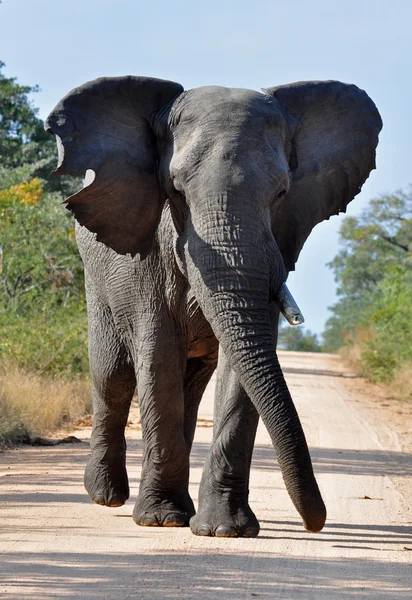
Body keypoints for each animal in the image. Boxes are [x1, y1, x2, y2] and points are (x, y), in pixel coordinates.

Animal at [43, 77, 382, 536]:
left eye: (282, 192)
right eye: (176, 191)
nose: (317, 522)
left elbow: (242, 368)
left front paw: (226, 529)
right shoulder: (146, 258)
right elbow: (157, 354)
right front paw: (160, 521)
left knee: (189, 385)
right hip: (96, 278)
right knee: (113, 375)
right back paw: (107, 497)